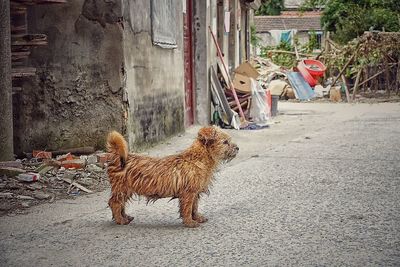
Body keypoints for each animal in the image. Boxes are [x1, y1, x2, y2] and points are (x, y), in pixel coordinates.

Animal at [105, 126, 238, 228]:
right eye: (225, 142)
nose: (237, 148)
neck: (196, 159)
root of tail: (116, 157)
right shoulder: (188, 194)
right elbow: (187, 209)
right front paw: (190, 222)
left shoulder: (194, 193)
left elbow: (194, 207)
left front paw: (197, 218)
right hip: (122, 189)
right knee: (115, 203)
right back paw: (120, 220)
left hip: (125, 191)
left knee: (120, 204)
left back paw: (125, 217)